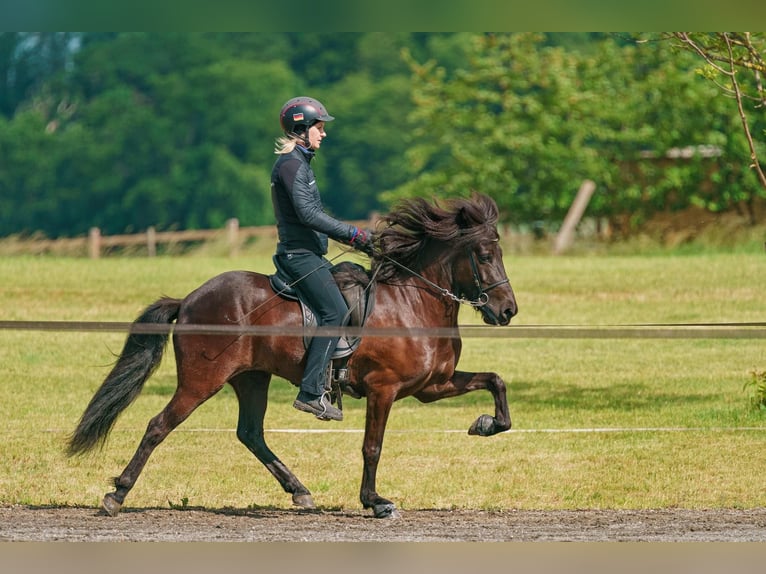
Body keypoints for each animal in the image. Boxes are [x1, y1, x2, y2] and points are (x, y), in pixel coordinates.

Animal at [67, 195, 520, 520]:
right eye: (484, 255)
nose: (508, 311)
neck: (412, 303)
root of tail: (190, 299)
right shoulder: (384, 389)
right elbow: (372, 446)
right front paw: (376, 502)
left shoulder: (432, 386)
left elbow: (496, 380)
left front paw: (485, 424)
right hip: (201, 380)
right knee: (159, 425)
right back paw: (117, 494)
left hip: (251, 378)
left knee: (250, 433)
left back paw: (300, 492)